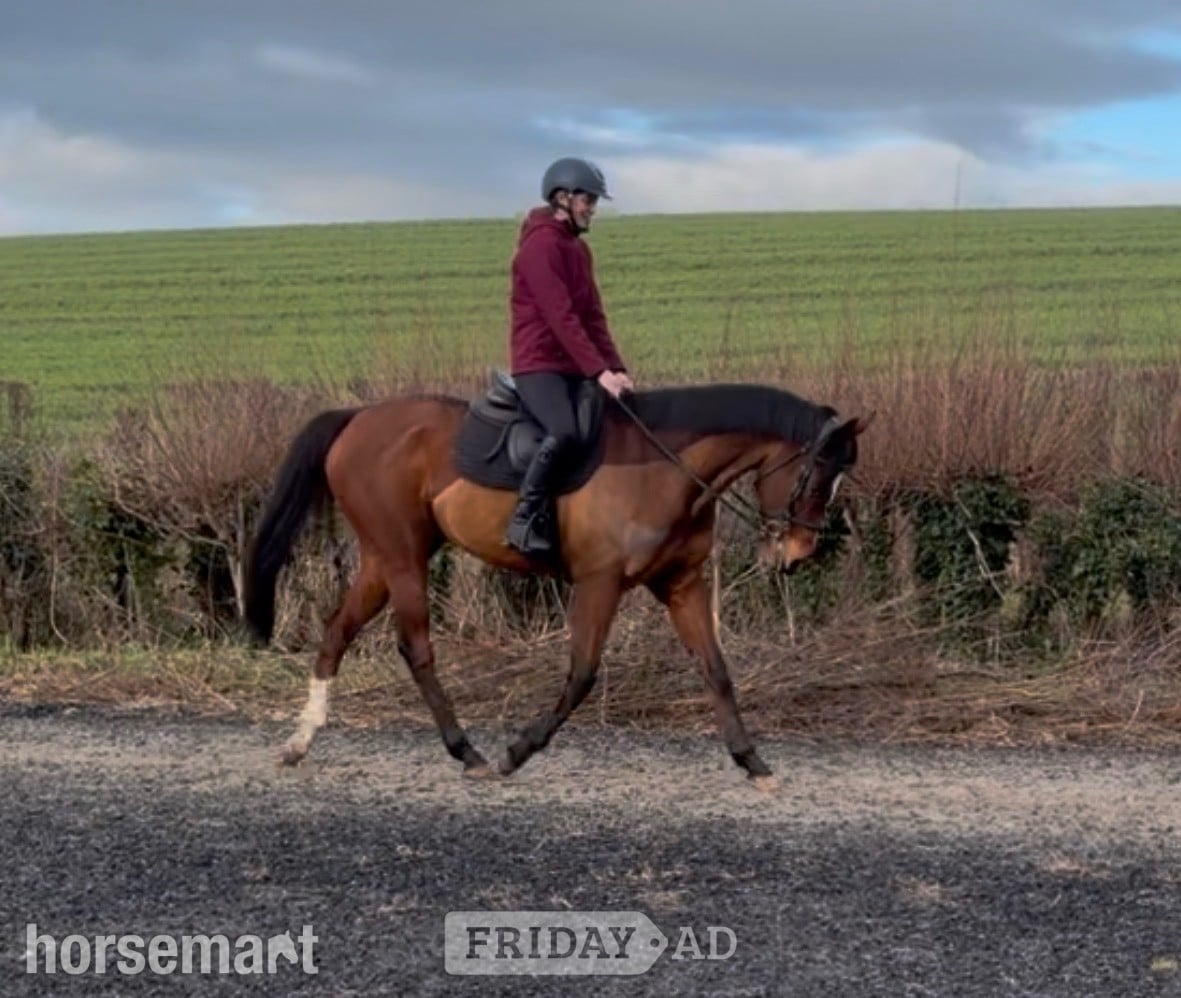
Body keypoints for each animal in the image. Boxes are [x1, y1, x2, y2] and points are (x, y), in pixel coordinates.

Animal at [244, 379, 868, 788]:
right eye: (816, 477)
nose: (796, 555)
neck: (666, 468)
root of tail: (357, 418)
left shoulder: (682, 585)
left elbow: (716, 671)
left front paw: (752, 761)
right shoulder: (598, 584)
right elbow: (583, 674)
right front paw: (518, 752)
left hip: (383, 557)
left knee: (337, 632)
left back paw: (300, 742)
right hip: (402, 558)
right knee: (415, 647)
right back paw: (467, 753)